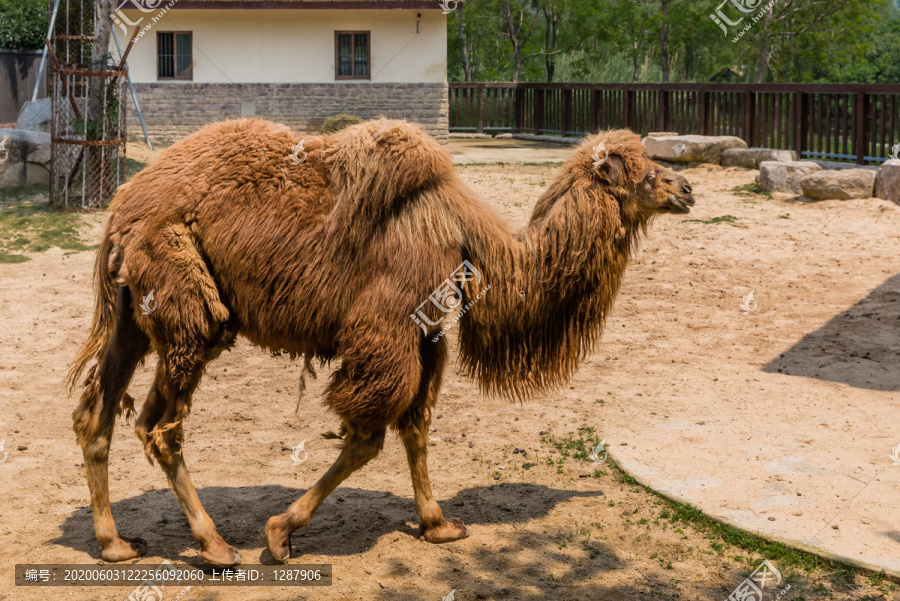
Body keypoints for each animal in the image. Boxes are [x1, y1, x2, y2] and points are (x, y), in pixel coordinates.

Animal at [68, 115, 696, 564]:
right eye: (640, 170)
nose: (687, 188)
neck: (464, 235)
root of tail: (120, 208)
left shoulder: (426, 332)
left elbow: (417, 426)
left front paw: (439, 525)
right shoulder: (385, 329)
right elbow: (369, 437)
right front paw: (280, 533)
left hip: (134, 312)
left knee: (97, 413)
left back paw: (115, 543)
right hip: (187, 303)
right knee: (159, 425)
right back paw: (216, 545)